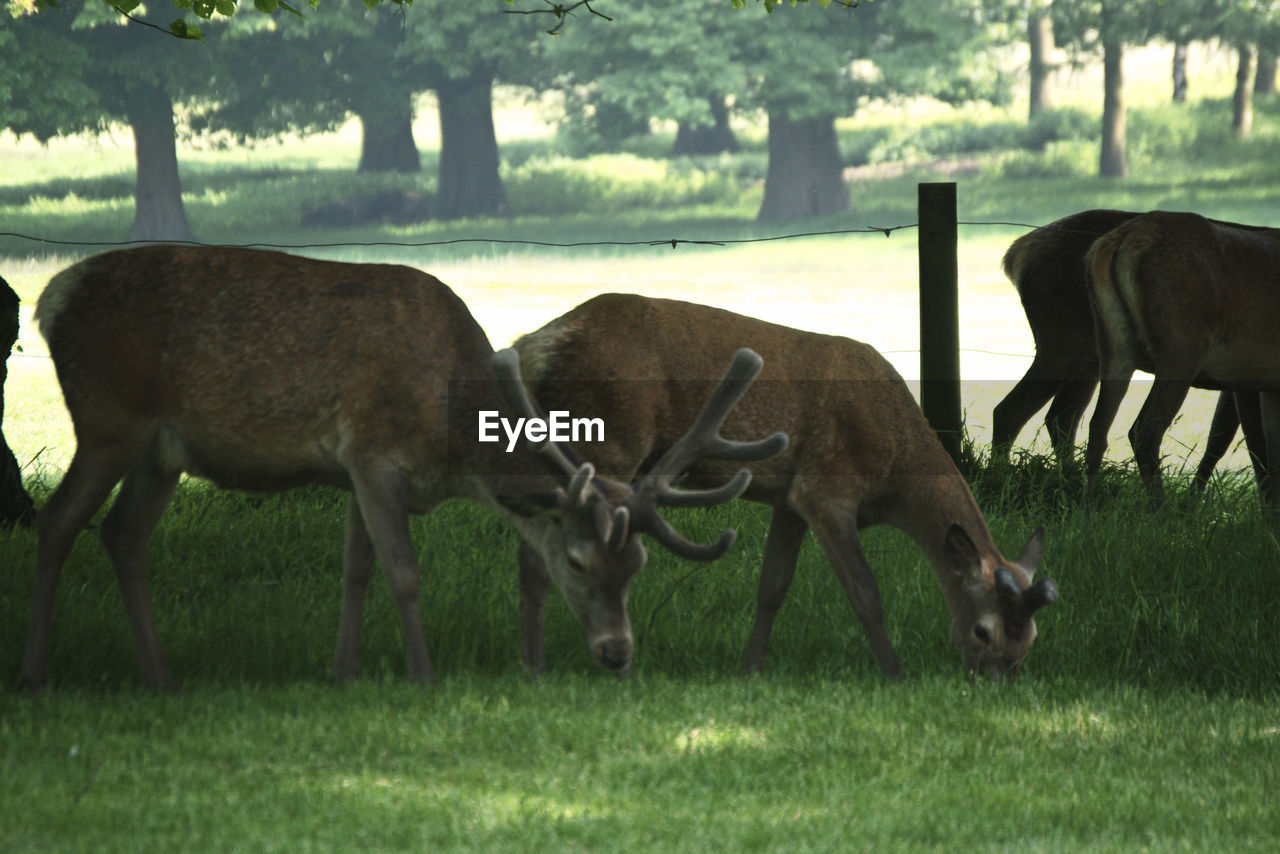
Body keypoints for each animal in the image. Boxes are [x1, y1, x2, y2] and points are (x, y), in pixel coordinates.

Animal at [17, 243, 788, 691]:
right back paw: (35, 677)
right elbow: (404, 572)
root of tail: (52, 297)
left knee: (122, 535)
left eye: (638, 566)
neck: (450, 444)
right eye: (577, 561)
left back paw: (160, 677)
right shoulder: (372, 452)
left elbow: (357, 569)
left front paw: (343, 674)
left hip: (162, 450)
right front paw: (422, 678)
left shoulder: (354, 472)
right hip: (107, 419)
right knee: (56, 523)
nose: (619, 654)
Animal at [509, 294, 1059, 681]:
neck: (895, 471)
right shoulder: (827, 486)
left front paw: (749, 670)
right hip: (609, 438)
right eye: (983, 629)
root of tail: (530, 347)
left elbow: (772, 585)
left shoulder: (789, 499)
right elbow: (865, 591)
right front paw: (896, 675)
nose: (995, 683)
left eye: (1032, 639)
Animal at [988, 207, 1259, 491]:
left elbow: (1223, 437)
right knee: (1010, 411)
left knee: (1061, 416)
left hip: (1089, 358)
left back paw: (1070, 479)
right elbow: (1240, 439)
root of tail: (1016, 254)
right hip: (1061, 342)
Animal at [1085, 209, 1280, 512]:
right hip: (1183, 347)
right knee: (1144, 430)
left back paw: (1086, 510)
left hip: (1114, 346)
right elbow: (1253, 444)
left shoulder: (1262, 382)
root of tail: (1119, 239)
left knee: (1097, 427)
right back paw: (1163, 513)